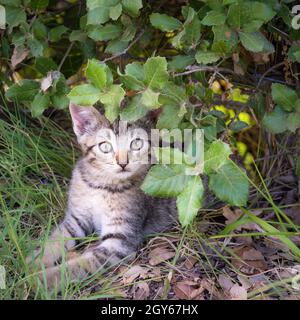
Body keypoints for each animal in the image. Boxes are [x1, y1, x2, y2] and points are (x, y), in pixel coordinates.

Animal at [29, 104, 178, 288]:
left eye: (137, 143)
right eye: (105, 146)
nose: (122, 163)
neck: (102, 184)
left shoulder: (120, 239)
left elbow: (80, 264)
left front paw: (43, 279)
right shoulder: (76, 218)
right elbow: (54, 240)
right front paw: (35, 262)